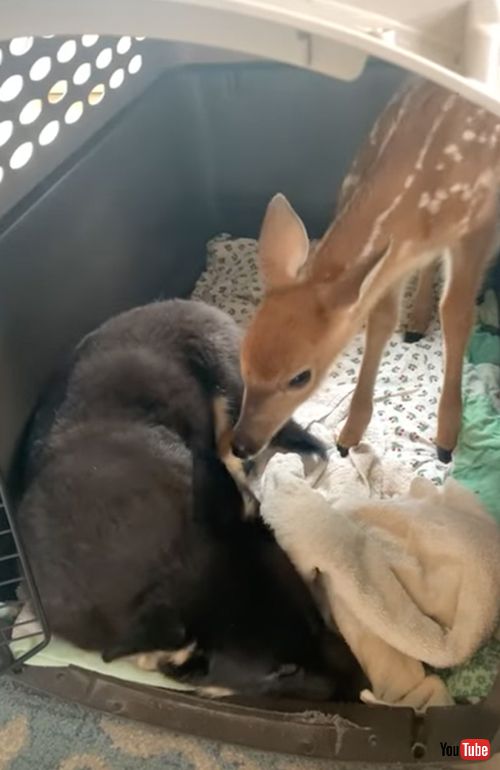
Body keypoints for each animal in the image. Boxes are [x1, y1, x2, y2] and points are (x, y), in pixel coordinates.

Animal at [231, 77, 500, 465]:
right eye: (243, 358)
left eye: (300, 377)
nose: (241, 445)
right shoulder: (392, 259)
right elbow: (381, 320)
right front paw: (350, 433)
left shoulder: (476, 227)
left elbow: (456, 314)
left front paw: (447, 437)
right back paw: (416, 321)